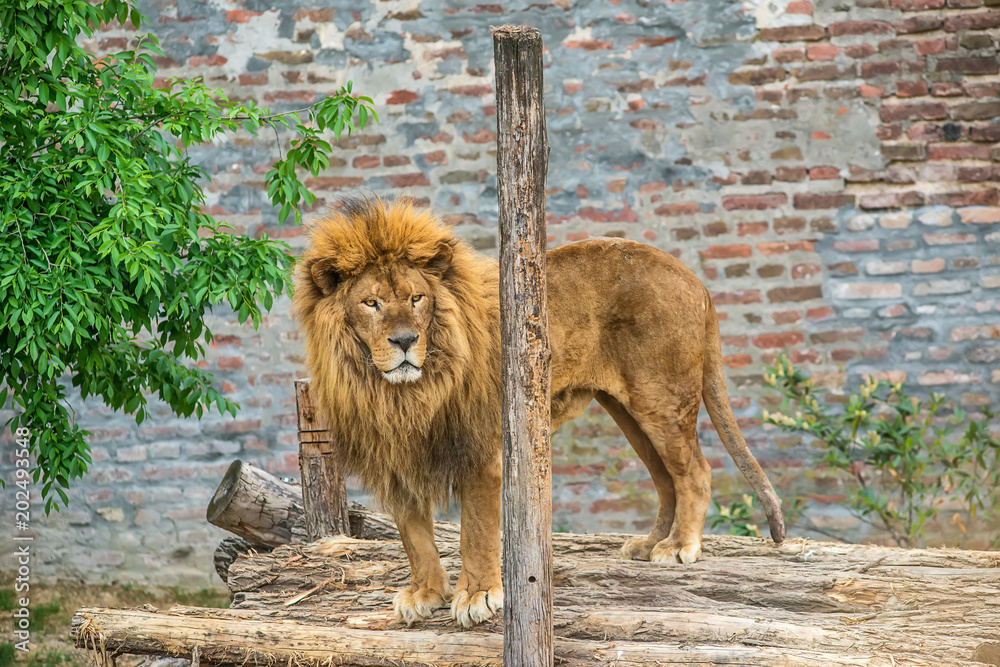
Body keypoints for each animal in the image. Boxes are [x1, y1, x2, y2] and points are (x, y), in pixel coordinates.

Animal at [292, 195, 784, 629]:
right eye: (370, 303)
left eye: (416, 298)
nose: (405, 341)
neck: (400, 395)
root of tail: (694, 278)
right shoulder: (397, 455)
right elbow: (413, 536)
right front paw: (425, 594)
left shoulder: (482, 450)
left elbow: (476, 530)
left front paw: (478, 595)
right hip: (627, 409)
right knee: (666, 479)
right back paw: (650, 544)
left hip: (660, 398)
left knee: (694, 472)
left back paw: (679, 546)